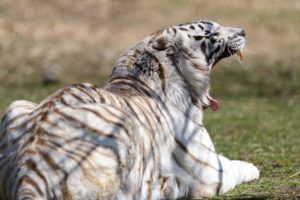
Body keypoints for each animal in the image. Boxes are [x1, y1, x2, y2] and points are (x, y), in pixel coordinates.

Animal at [0, 20, 258, 200]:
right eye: (212, 32)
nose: (244, 31)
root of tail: (28, 176)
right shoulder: (210, 172)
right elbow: (236, 166)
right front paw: (254, 168)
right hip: (121, 125)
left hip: (17, 104)